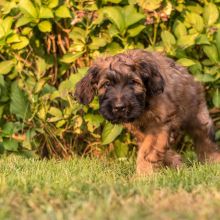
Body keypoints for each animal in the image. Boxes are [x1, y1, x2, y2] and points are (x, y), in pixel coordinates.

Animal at [74, 49, 220, 174]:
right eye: (107, 84)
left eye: (133, 82)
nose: (119, 107)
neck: (144, 106)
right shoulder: (140, 129)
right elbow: (154, 149)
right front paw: (174, 162)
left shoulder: (159, 125)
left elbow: (148, 151)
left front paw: (143, 175)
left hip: (197, 115)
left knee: (205, 139)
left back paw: (213, 162)